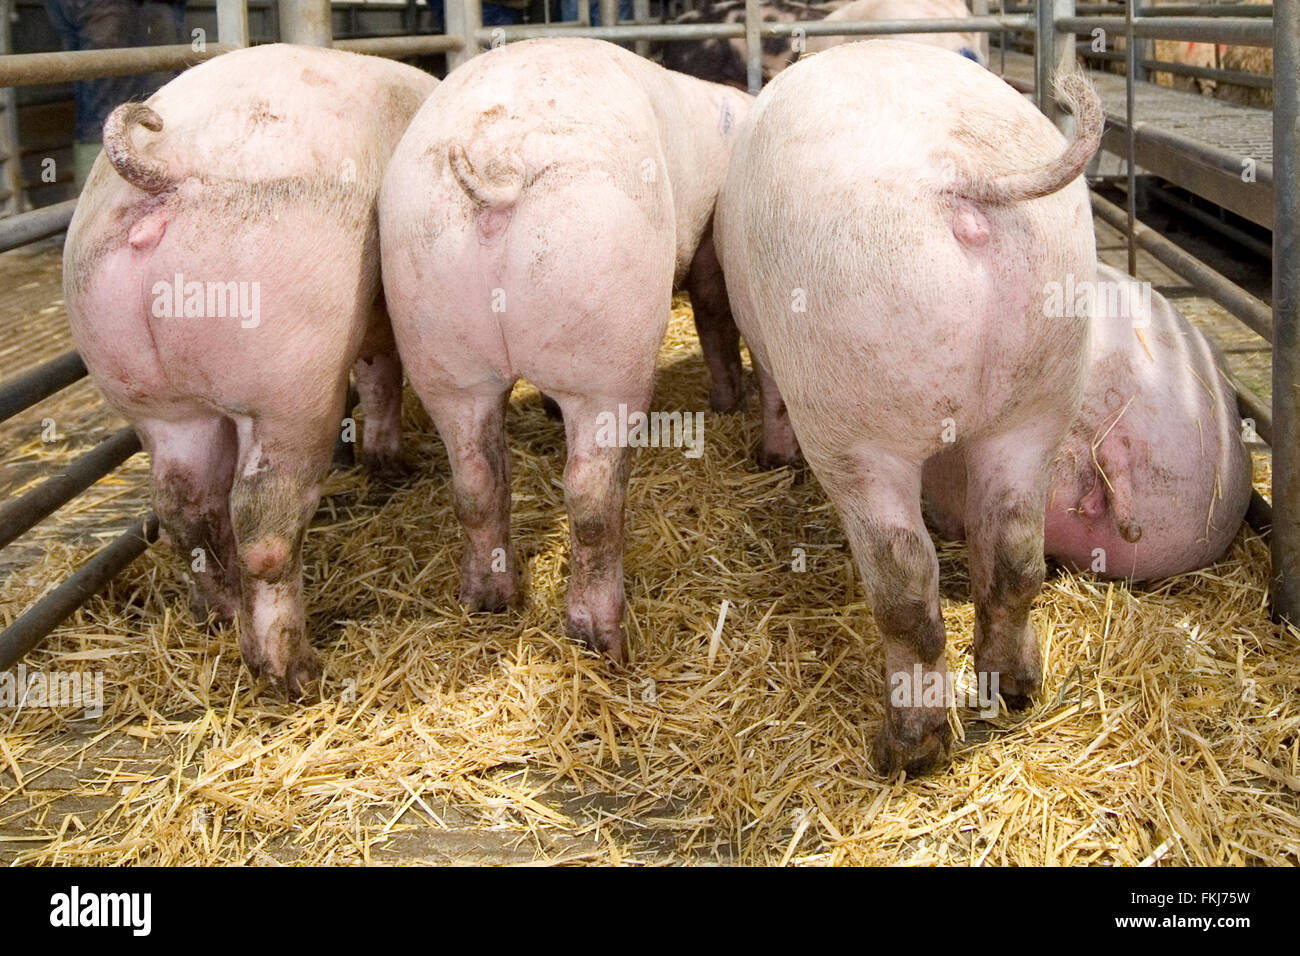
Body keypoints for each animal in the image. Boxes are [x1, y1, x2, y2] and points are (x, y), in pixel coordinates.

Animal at [64, 44, 436, 697]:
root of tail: (162, 166)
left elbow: (380, 378)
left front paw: (390, 467)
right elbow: (383, 379)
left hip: (150, 399)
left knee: (183, 508)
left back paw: (219, 614)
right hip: (291, 384)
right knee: (263, 523)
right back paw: (297, 672)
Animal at [717, 44, 1102, 780]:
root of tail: (960, 174)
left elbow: (771, 395)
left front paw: (772, 457)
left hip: (855, 419)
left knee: (903, 583)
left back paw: (905, 750)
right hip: (1046, 395)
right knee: (1015, 555)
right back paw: (1014, 693)